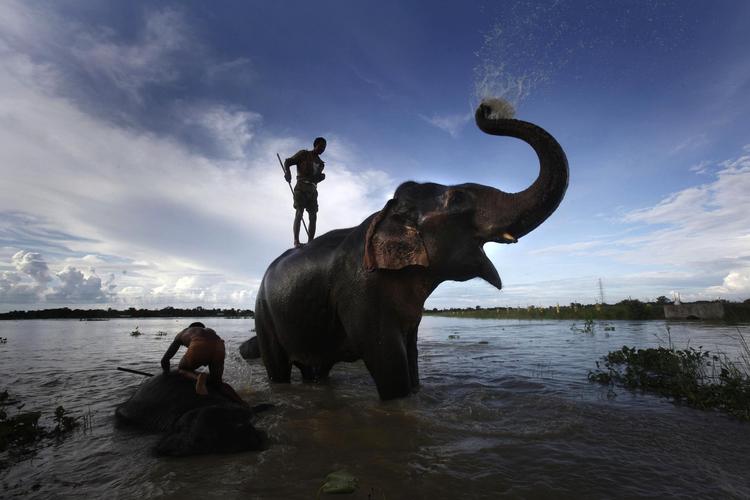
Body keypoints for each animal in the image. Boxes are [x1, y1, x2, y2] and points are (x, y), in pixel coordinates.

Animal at [253, 101, 569, 400]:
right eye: (458, 198)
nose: (486, 107)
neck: (386, 214)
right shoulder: (360, 290)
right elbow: (389, 365)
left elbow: (411, 354)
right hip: (263, 315)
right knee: (278, 367)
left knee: (317, 369)